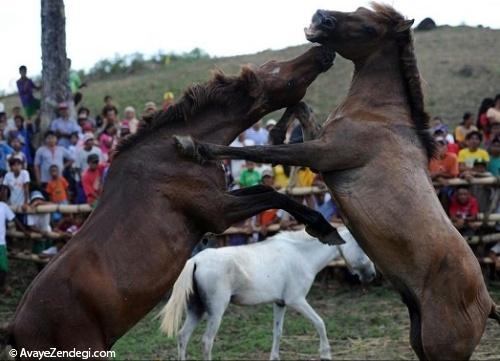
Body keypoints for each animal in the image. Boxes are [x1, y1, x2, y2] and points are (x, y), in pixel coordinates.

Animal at [8, 44, 344, 352]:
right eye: (279, 72)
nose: (322, 49)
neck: (171, 152)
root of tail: (14, 329)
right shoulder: (218, 212)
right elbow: (273, 194)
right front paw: (324, 228)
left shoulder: (221, 201)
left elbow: (265, 191)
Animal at [160, 226, 376, 358]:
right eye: (361, 245)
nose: (372, 274)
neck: (300, 255)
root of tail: (196, 260)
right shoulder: (297, 300)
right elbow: (320, 323)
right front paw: (325, 354)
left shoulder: (280, 303)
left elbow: (277, 332)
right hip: (215, 312)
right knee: (206, 342)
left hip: (196, 310)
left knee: (183, 337)